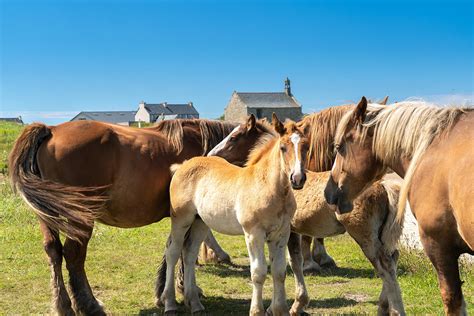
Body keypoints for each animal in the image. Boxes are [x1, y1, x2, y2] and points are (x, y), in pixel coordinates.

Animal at [7, 119, 237, 316]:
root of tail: (51, 129)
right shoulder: (188, 217)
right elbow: (182, 250)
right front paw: (182, 291)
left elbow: (174, 249)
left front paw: (164, 293)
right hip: (80, 217)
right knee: (74, 255)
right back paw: (89, 304)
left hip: (48, 215)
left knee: (53, 250)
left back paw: (63, 305)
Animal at [157, 114, 310, 316]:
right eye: (283, 148)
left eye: (306, 147)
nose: (297, 178)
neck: (267, 186)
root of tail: (182, 165)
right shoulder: (253, 234)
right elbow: (259, 272)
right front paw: (257, 311)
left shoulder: (281, 233)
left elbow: (279, 271)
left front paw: (280, 310)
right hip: (181, 220)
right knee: (173, 251)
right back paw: (170, 304)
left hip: (200, 222)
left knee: (189, 252)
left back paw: (195, 304)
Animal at [209, 115, 406, 314]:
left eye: (234, 137)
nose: (212, 154)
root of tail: (383, 185)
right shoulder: (293, 232)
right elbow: (295, 261)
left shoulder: (288, 231)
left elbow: (293, 263)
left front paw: (287, 306)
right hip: (381, 235)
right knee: (393, 257)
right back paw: (384, 305)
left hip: (364, 235)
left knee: (385, 266)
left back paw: (394, 309)